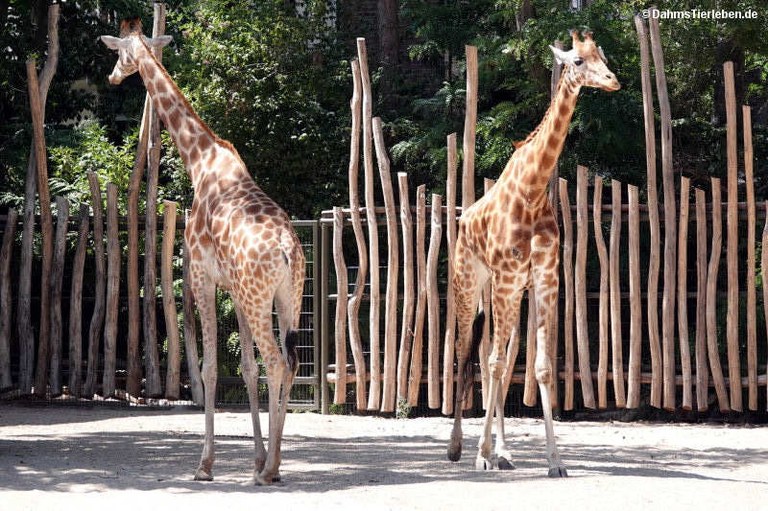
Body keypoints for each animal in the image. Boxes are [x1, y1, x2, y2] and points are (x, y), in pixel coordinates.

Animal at [101, 19, 305, 485]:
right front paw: (253, 457)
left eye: (119, 53)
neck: (199, 160)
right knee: (290, 363)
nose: (113, 77)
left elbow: (211, 369)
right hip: (287, 297)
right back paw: (271, 465)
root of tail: (288, 248)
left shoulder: (202, 276)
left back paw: (271, 470)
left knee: (277, 362)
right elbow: (245, 370)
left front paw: (206, 465)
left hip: (260, 298)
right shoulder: (235, 291)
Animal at [446, 30, 620, 477]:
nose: (612, 80)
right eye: (578, 61)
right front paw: (480, 454)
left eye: (603, 56)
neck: (534, 189)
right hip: (470, 284)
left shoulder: (544, 278)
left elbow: (537, 367)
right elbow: (489, 362)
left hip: (506, 291)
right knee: (467, 352)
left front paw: (554, 461)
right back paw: (459, 447)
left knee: (501, 361)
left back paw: (504, 451)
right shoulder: (508, 279)